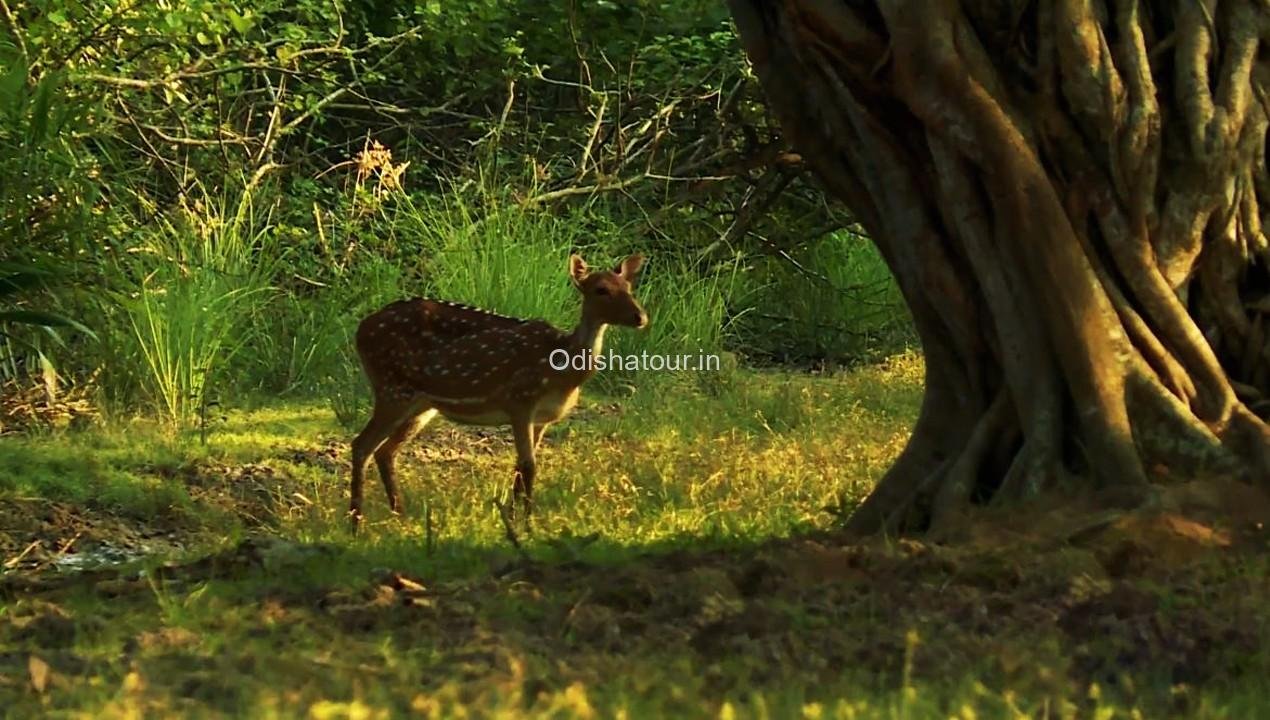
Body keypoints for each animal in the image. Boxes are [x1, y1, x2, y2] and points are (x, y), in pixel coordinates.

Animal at [347, 253, 645, 530]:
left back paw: (401, 516)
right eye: (601, 290)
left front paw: (512, 520)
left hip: (420, 404)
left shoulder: (542, 419)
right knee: (361, 444)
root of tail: (359, 330)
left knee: (385, 451)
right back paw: (356, 523)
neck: (562, 370)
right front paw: (528, 524)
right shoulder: (520, 399)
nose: (641, 317)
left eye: (629, 287)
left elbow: (520, 467)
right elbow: (529, 465)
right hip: (391, 388)